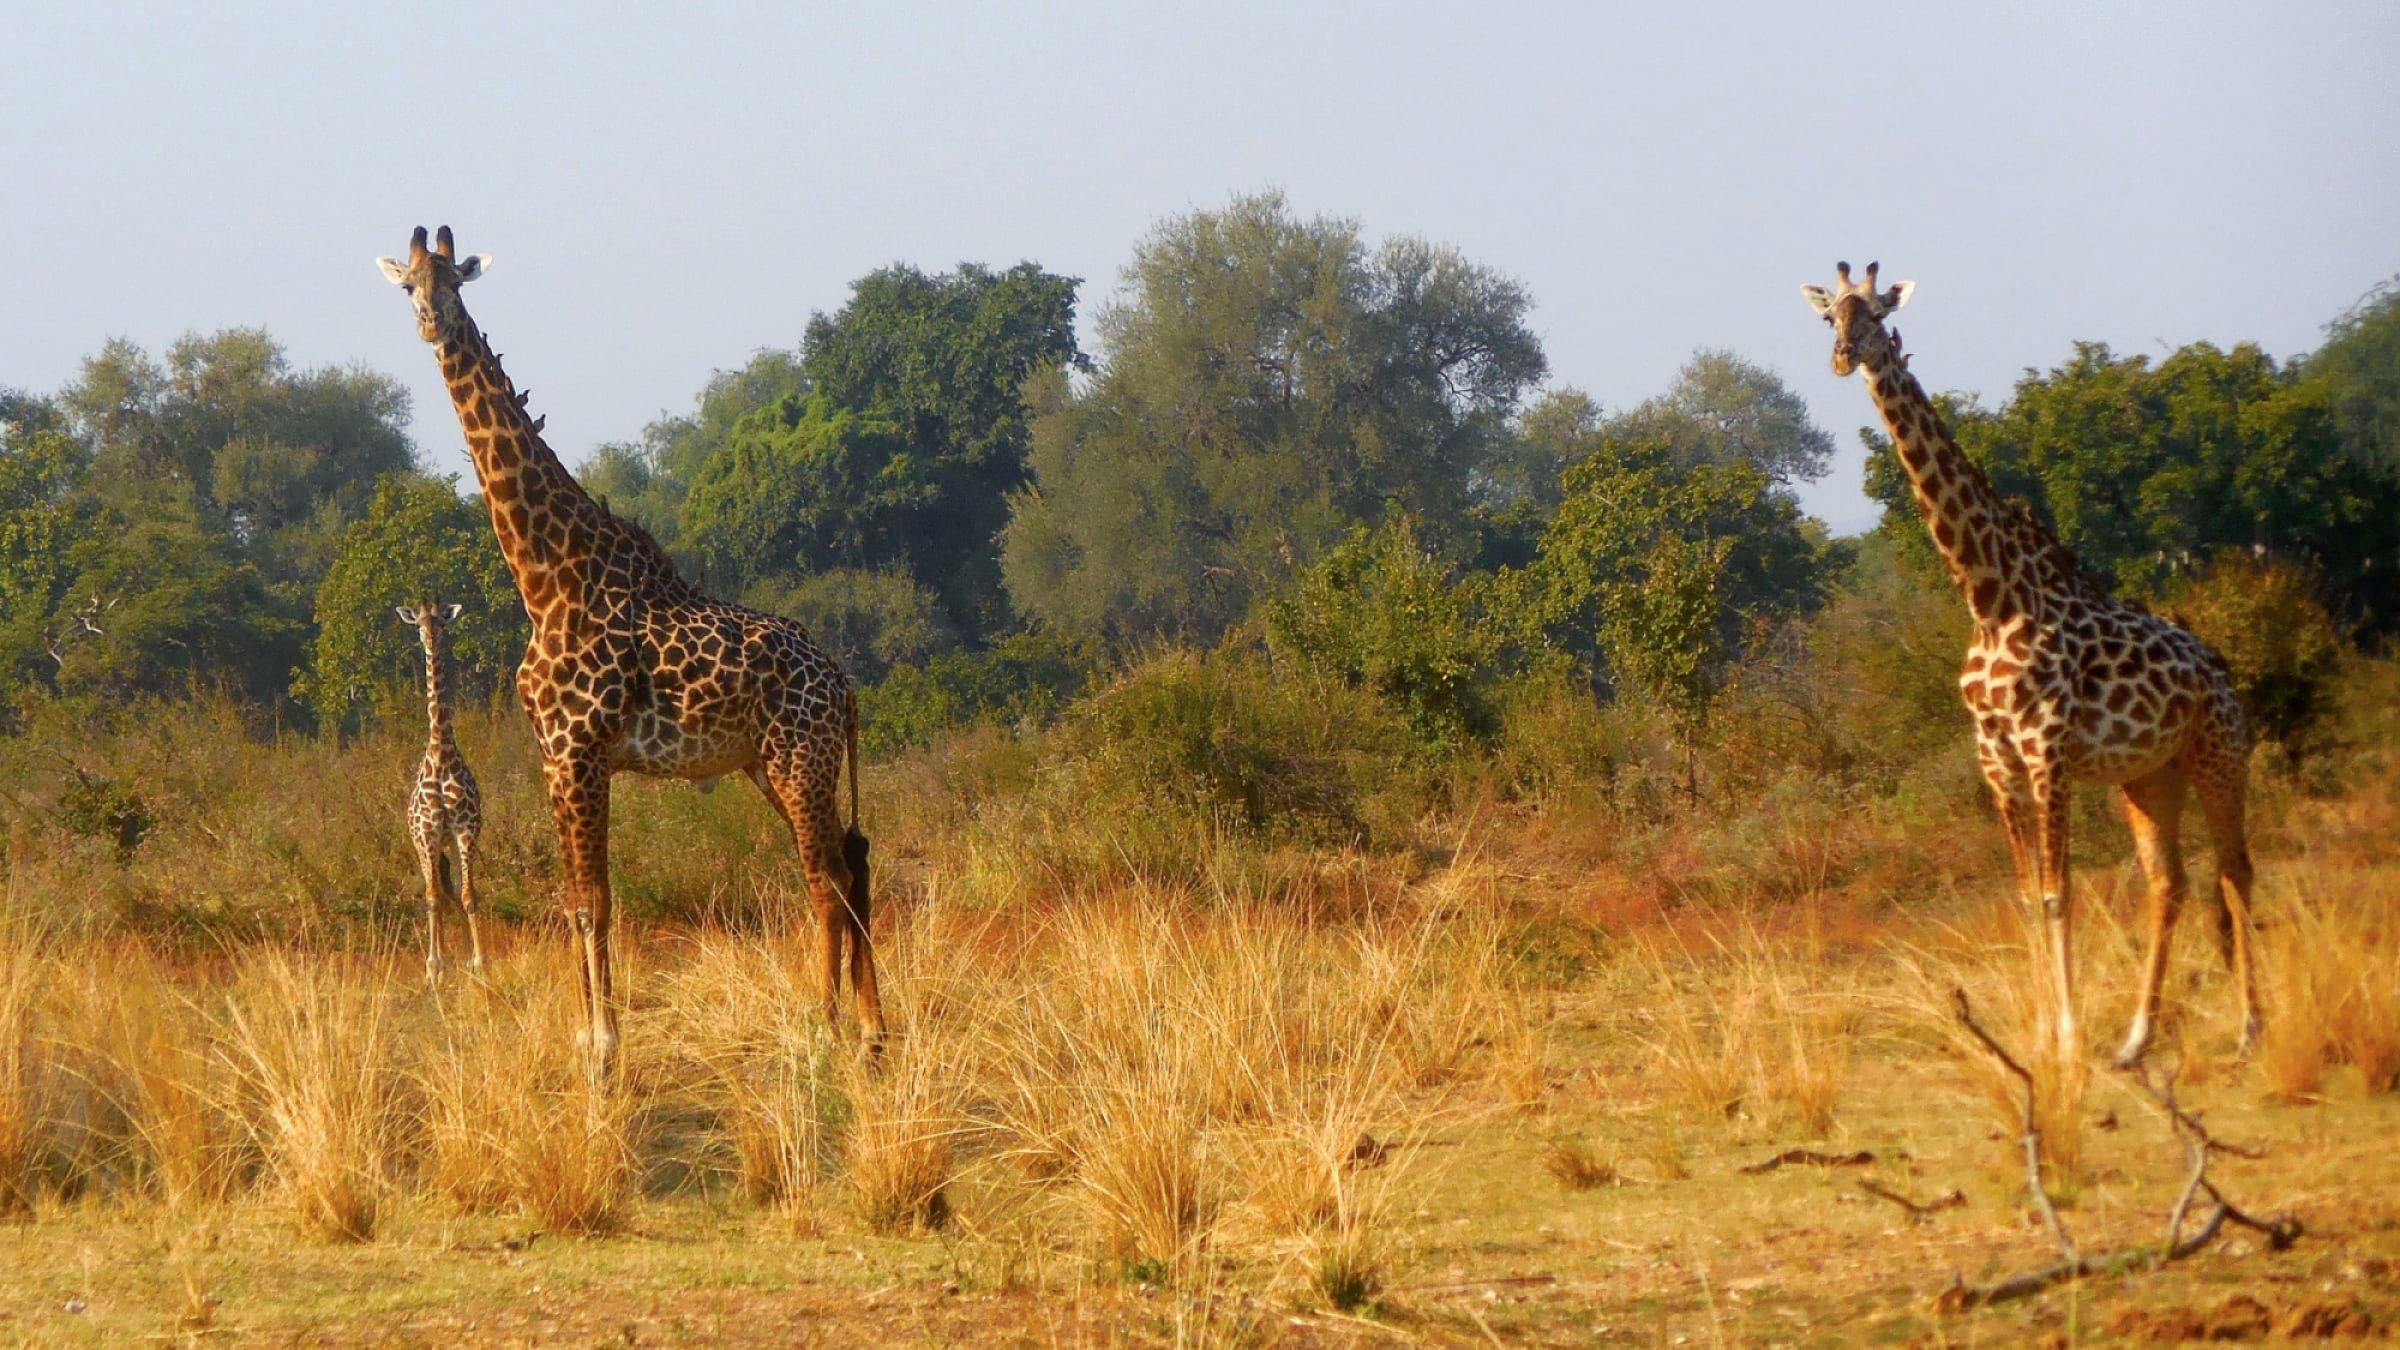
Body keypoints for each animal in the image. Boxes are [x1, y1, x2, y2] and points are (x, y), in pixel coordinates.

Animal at [364, 230, 873, 1071]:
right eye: (407, 285)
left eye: (455, 283)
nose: (432, 323)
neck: (547, 576)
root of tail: (843, 684)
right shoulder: (554, 757)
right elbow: (576, 900)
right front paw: (586, 1036)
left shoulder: (581, 752)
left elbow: (596, 902)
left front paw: (604, 1047)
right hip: (770, 764)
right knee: (850, 867)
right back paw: (873, 1028)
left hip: (801, 758)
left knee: (826, 876)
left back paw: (831, 1026)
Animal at [1804, 260, 2256, 1061]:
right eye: (1830, 317)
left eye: (1878, 313)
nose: (1842, 358)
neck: (1989, 595)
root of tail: (2220, 665)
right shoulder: (1996, 757)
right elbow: (2023, 893)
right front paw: (2048, 1031)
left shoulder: (2046, 748)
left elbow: (2056, 892)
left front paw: (2068, 1036)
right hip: (2149, 776)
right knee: (2168, 882)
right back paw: (2136, 1039)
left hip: (2219, 754)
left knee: (2236, 868)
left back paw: (2250, 1030)